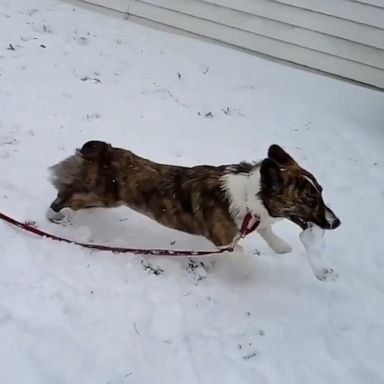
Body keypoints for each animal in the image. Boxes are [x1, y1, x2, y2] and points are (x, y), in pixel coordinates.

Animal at [46, 141, 340, 252]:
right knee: (65, 194)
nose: (337, 223)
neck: (250, 195)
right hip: (101, 195)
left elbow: (265, 229)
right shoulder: (224, 239)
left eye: (322, 192)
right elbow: (237, 245)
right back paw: (54, 215)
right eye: (310, 200)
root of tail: (105, 149)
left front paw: (281, 246)